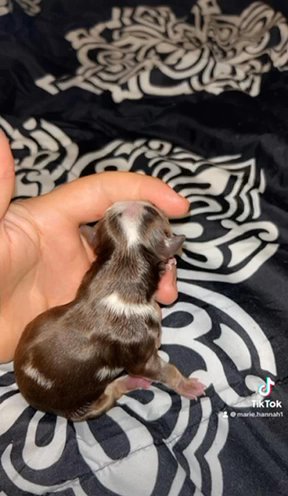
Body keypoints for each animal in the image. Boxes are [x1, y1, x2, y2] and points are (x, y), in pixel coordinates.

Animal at [14, 200, 206, 420]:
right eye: (152, 211)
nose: (150, 202)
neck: (123, 263)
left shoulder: (89, 276)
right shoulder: (140, 352)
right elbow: (163, 369)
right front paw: (187, 385)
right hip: (83, 407)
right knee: (109, 394)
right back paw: (131, 381)